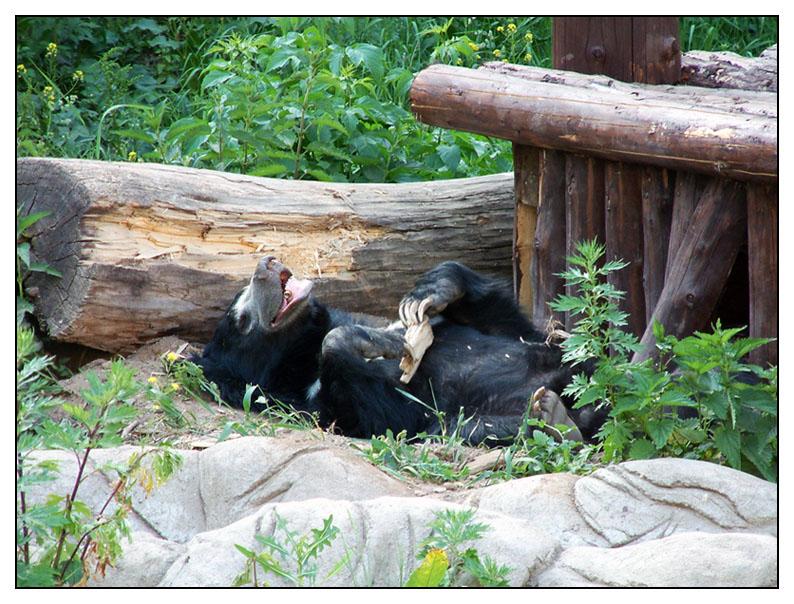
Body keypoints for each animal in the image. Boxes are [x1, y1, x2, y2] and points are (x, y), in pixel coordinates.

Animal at [190, 255, 600, 444]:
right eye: (242, 321)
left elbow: (510, 327)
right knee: (467, 428)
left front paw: (430, 292)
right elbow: (377, 414)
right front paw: (377, 343)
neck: (303, 355)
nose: (265, 264)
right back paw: (556, 419)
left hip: (579, 367)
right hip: (473, 421)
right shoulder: (312, 404)